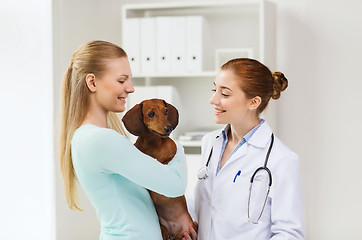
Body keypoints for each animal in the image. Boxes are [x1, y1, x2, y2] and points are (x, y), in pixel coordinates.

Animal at [121, 98, 195, 240]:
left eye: (166, 111)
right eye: (151, 114)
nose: (169, 128)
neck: (153, 144)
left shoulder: (172, 153)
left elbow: (165, 161)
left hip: (189, 227)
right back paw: (167, 234)